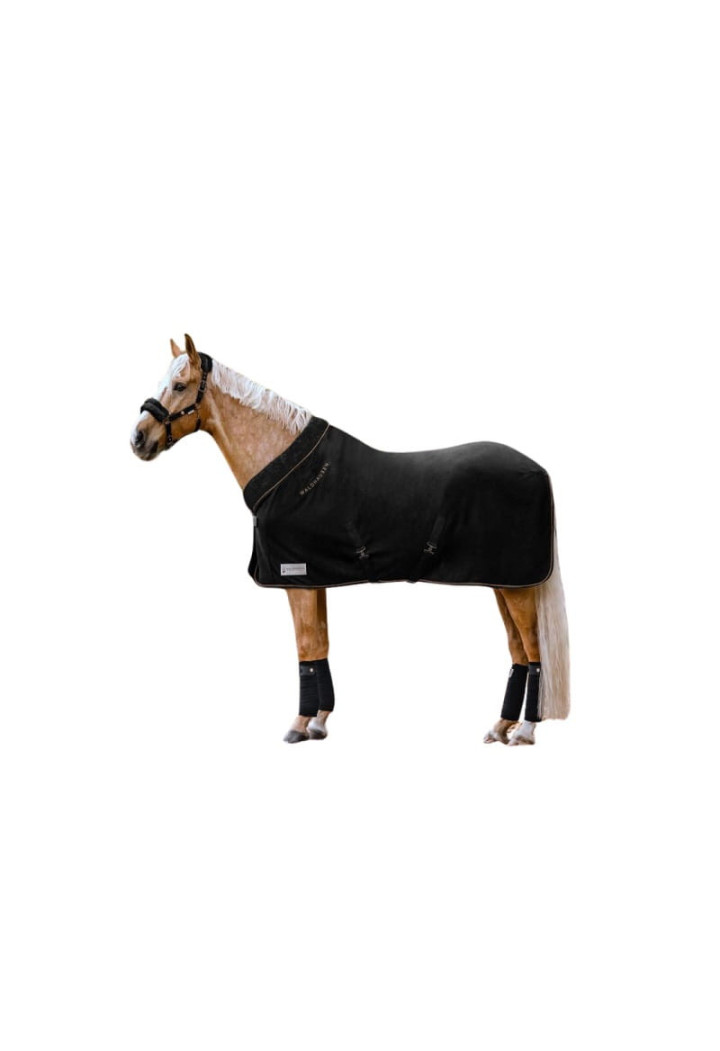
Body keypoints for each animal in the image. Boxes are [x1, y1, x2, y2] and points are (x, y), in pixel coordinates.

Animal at [130, 334, 570, 746]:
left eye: (180, 385)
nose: (138, 439)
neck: (285, 470)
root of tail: (539, 470)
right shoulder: (314, 579)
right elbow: (321, 645)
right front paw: (319, 722)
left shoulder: (296, 580)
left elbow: (306, 648)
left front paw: (298, 725)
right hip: (503, 583)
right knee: (517, 651)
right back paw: (500, 727)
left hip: (516, 586)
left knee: (534, 651)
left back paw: (525, 730)